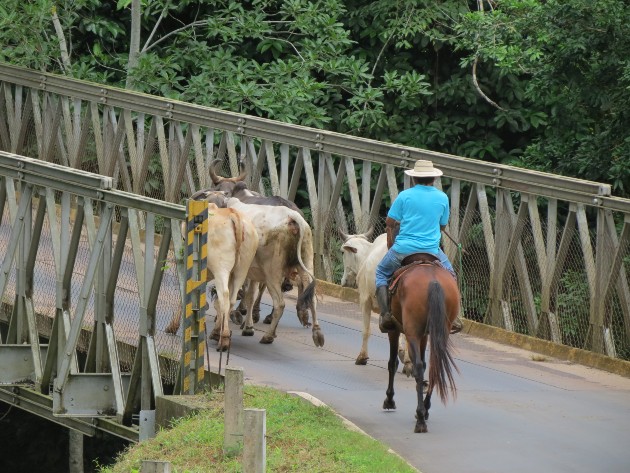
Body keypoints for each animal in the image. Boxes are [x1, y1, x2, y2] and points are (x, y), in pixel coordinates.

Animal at [340, 230, 414, 374]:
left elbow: (366, 330)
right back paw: (409, 363)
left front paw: (362, 357)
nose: (344, 281)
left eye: (342, 252)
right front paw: (403, 355)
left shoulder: (364, 299)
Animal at [382, 258, 462, 432]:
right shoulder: (425, 335)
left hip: (412, 332)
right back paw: (425, 410)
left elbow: (392, 363)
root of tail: (433, 281)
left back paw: (420, 418)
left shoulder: (395, 330)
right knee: (434, 367)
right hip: (440, 330)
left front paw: (389, 400)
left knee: (418, 367)